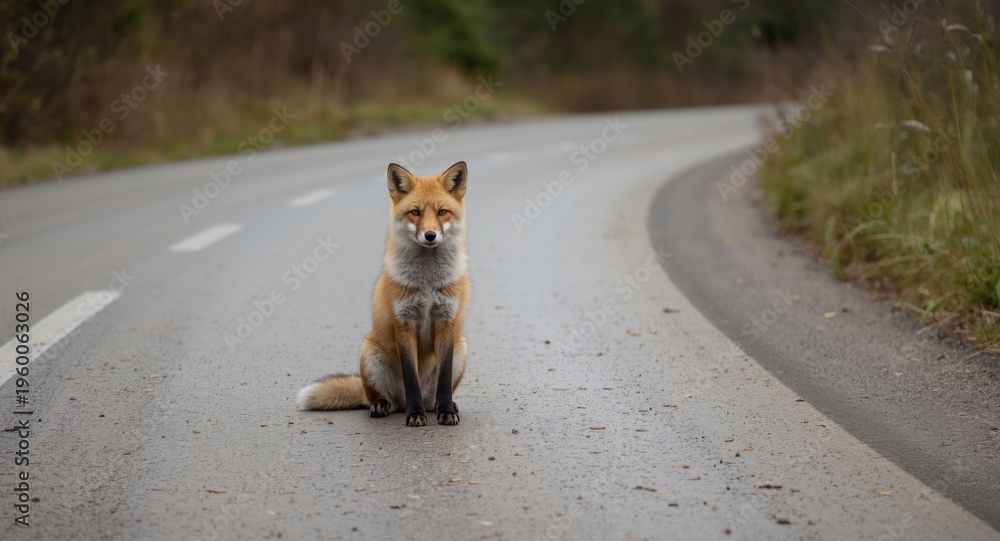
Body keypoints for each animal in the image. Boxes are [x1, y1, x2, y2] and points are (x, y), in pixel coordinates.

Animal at [297, 161, 470, 427]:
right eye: (415, 212)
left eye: (442, 212)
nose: (430, 235)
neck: (427, 284)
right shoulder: (403, 322)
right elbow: (411, 379)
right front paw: (415, 414)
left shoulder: (447, 321)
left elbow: (444, 380)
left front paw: (446, 412)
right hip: (370, 353)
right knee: (383, 399)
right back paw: (384, 405)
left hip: (461, 346)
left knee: (433, 396)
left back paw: (440, 406)